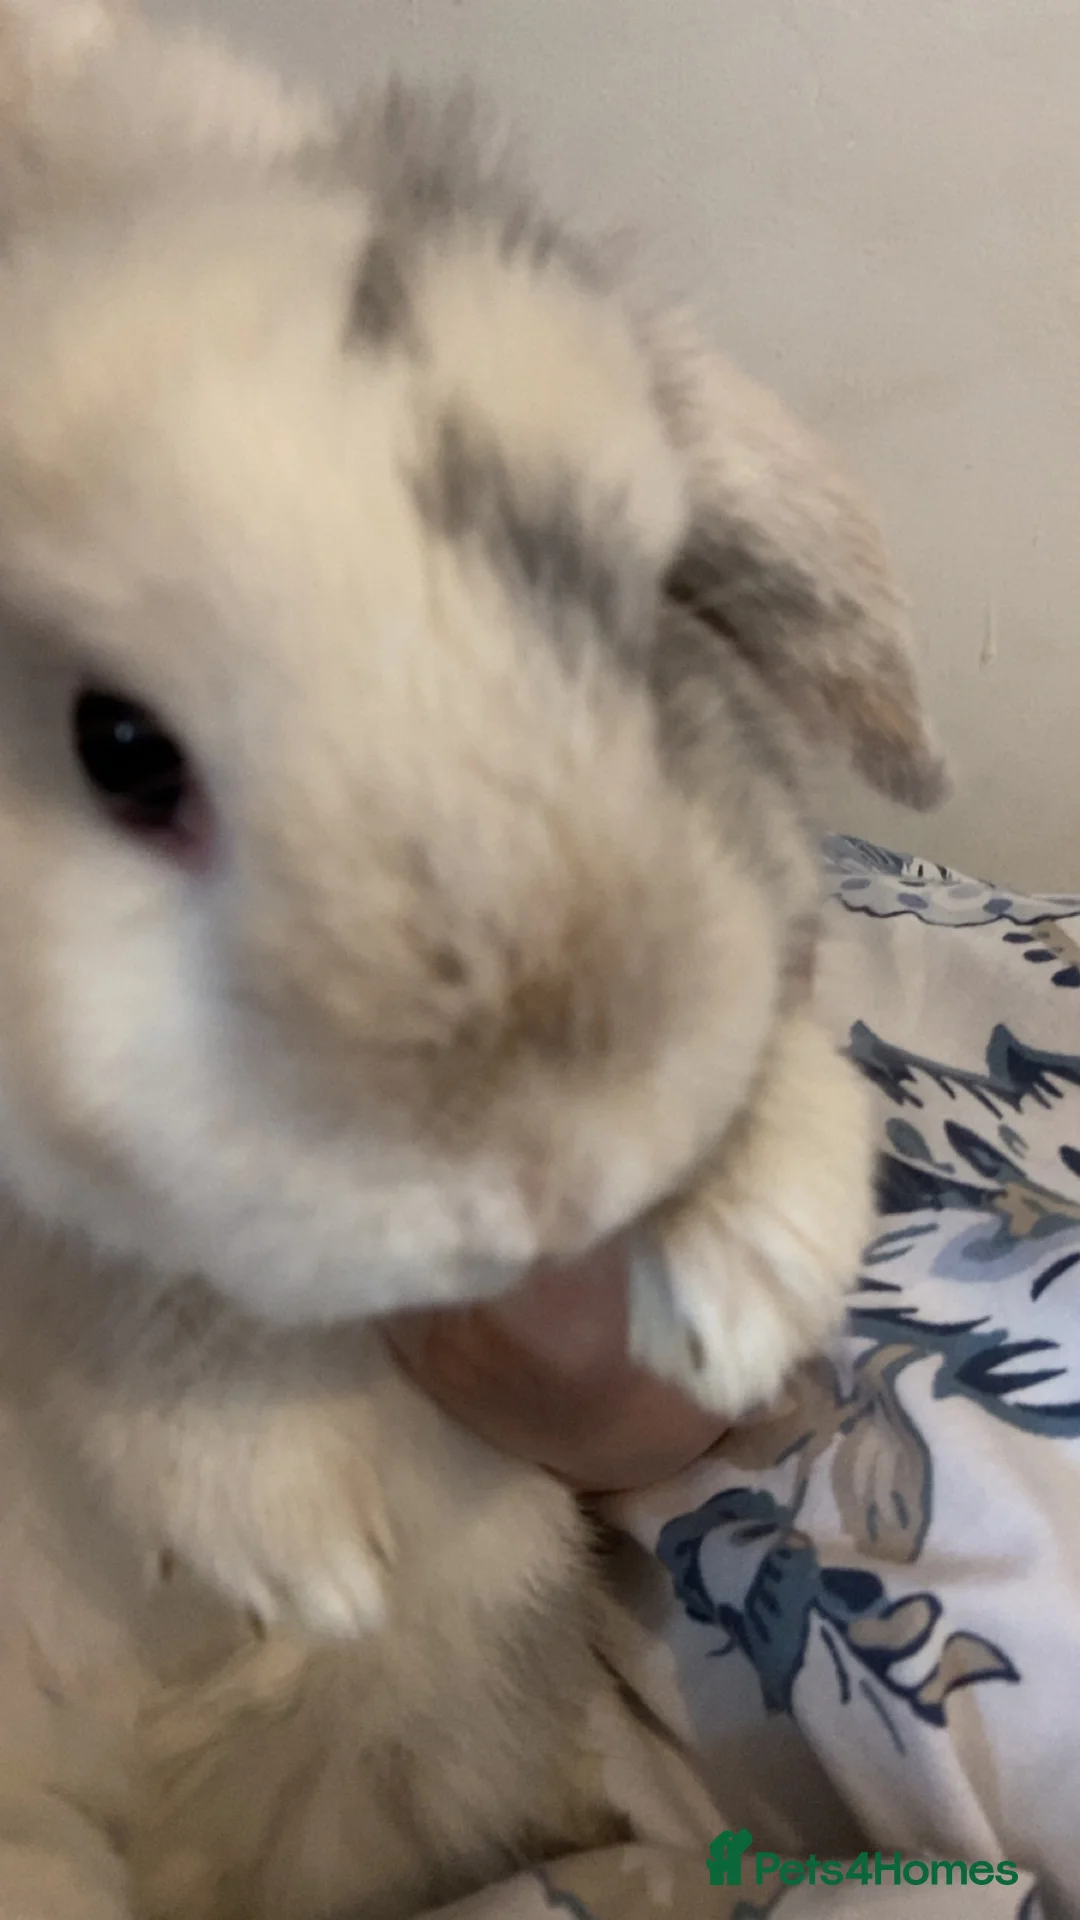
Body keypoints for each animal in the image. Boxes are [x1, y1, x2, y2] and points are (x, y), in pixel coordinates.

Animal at [0, 4, 948, 1917]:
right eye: (118, 748)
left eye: (641, 607)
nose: (552, 1174)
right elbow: (135, 1310)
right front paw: (294, 1552)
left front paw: (746, 1291)